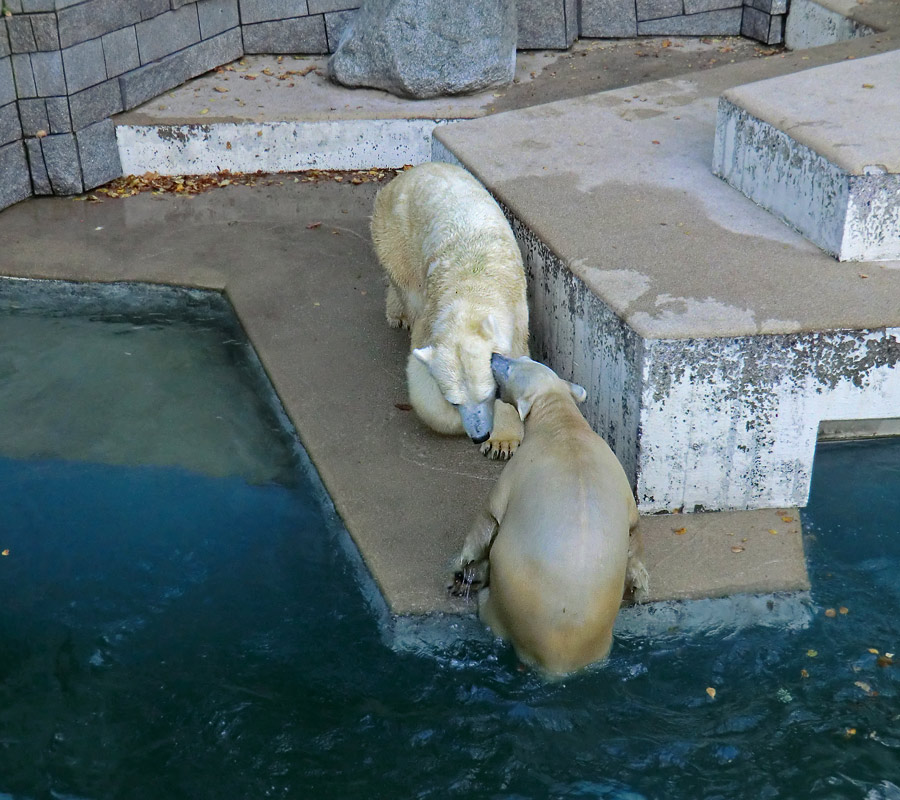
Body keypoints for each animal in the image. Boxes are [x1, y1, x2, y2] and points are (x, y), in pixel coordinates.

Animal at [370, 161, 528, 456]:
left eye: (489, 394)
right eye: (455, 401)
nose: (479, 436)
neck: (470, 288)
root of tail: (406, 173)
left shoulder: (516, 314)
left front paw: (501, 442)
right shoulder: (429, 320)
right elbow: (422, 383)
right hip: (395, 237)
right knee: (404, 284)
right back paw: (398, 314)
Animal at [458, 354, 648, 676]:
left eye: (510, 367)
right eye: (522, 357)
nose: (495, 356)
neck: (563, 423)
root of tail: (556, 661)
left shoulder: (517, 470)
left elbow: (489, 518)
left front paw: (461, 567)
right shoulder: (620, 480)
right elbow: (634, 529)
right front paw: (639, 580)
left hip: (511, 596)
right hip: (601, 640)